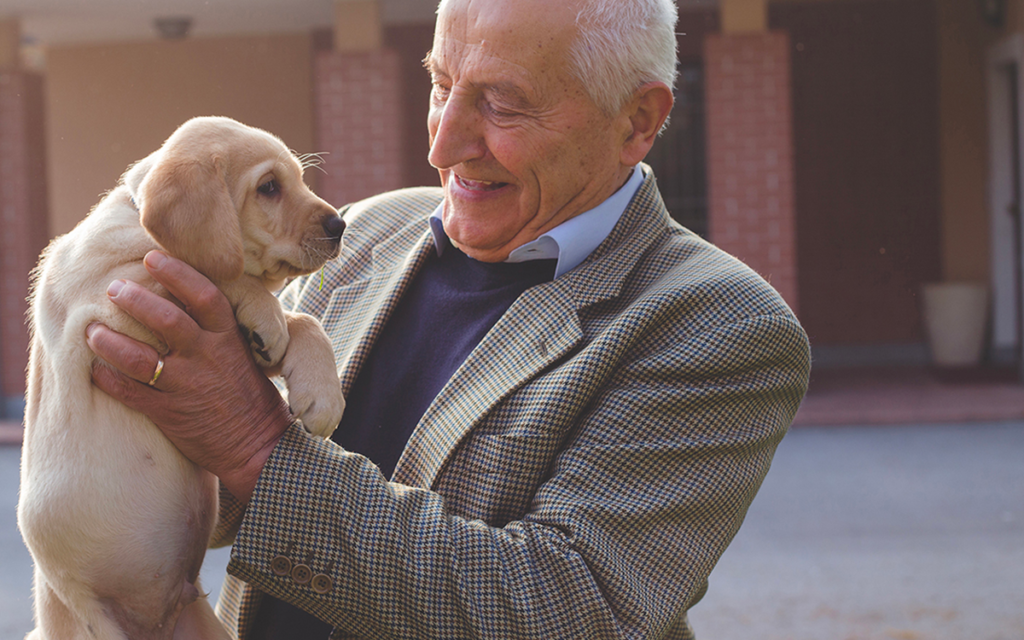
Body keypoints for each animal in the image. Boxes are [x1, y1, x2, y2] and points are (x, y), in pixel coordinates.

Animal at [18, 116, 346, 638]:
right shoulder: (108, 308)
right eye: (269, 188)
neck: (140, 226)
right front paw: (264, 310)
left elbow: (304, 322)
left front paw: (323, 394)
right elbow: (212, 273)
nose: (340, 225)